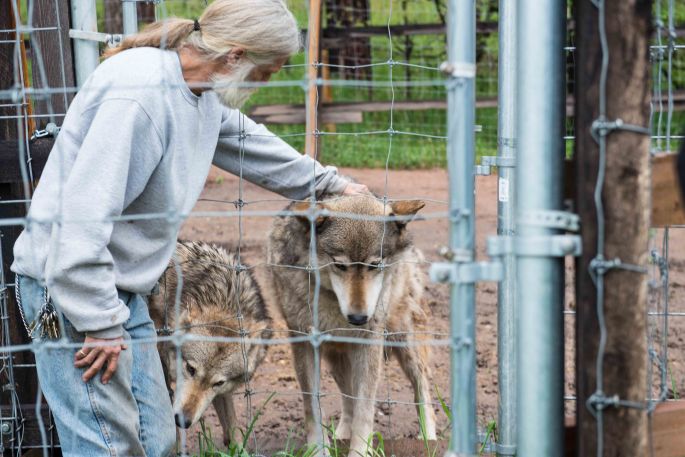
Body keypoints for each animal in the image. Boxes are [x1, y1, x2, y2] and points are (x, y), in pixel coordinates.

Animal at [267, 195, 436, 455]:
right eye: (340, 265)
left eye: (375, 265)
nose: (358, 319)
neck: (330, 301)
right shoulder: (304, 343)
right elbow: (313, 407)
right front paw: (319, 450)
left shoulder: (369, 344)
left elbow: (365, 410)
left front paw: (359, 451)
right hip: (336, 357)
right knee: (348, 396)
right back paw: (343, 433)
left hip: (405, 342)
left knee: (422, 386)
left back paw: (429, 438)